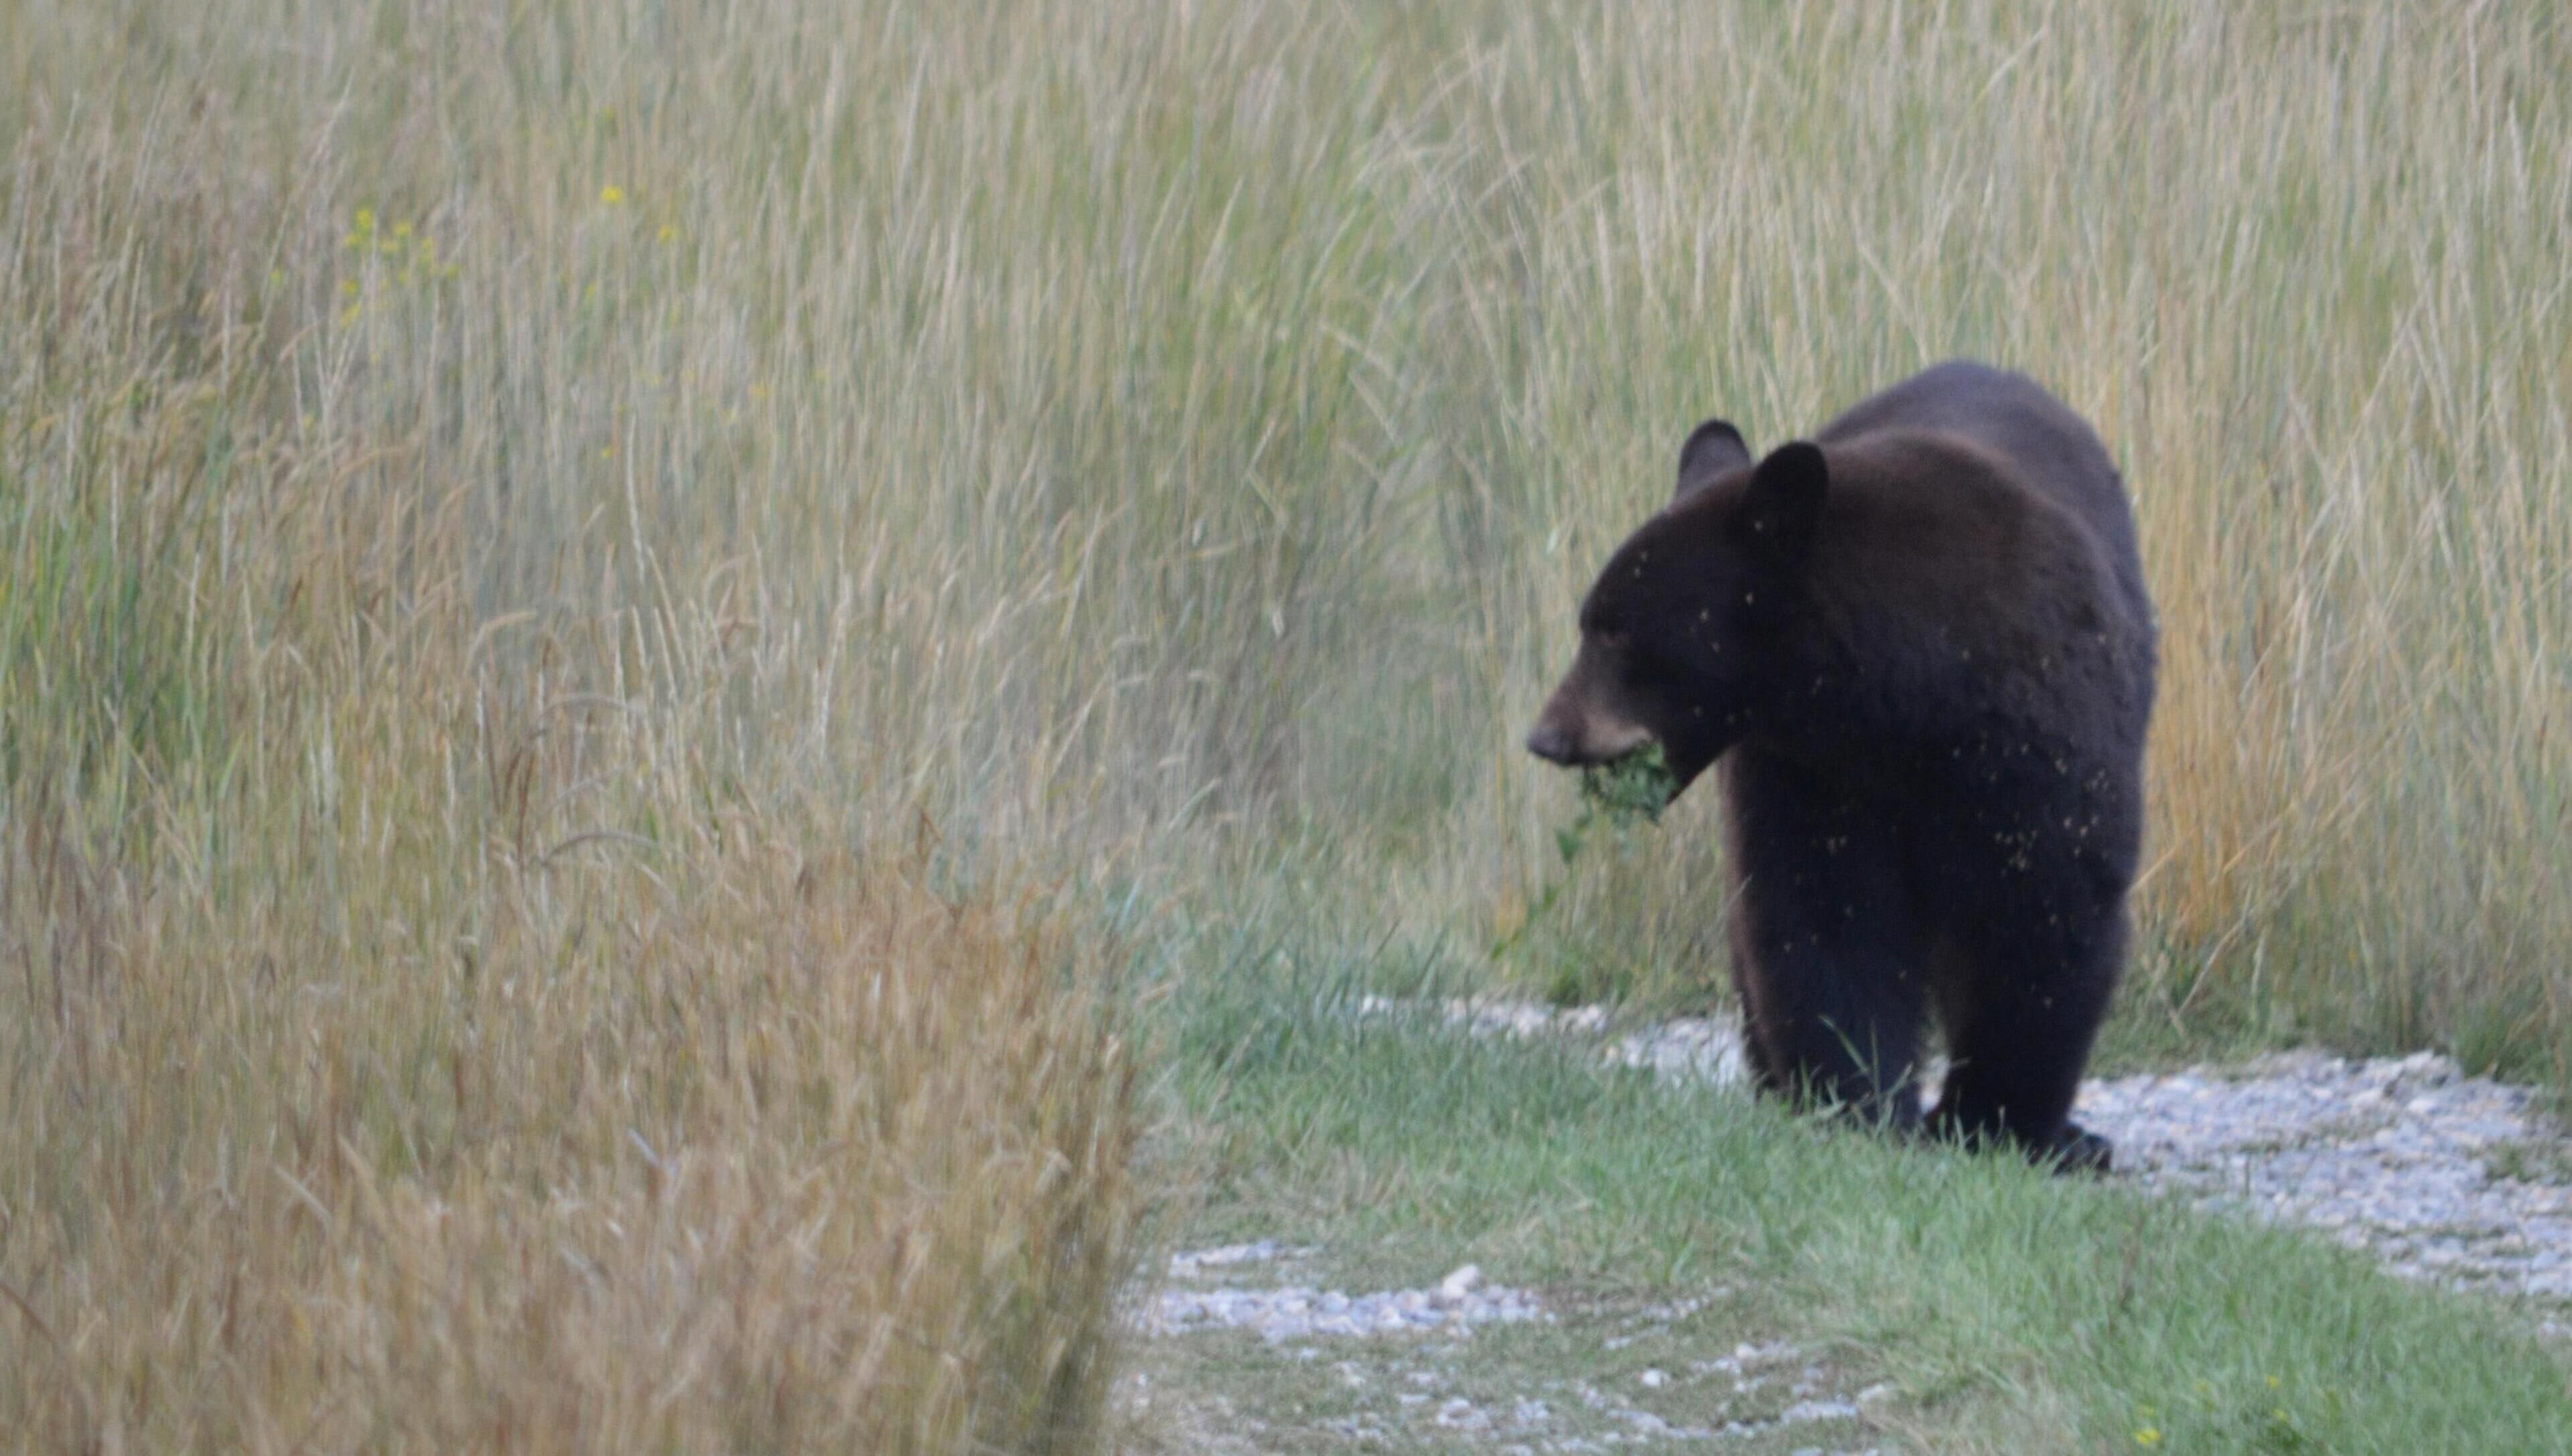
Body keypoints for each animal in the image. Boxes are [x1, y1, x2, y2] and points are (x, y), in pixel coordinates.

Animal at [1525, 360, 2156, 1173]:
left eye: (1613, 630)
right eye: (1592, 621)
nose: (1547, 736)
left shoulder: (2037, 738)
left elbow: (2046, 911)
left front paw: (1994, 1120)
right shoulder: (1810, 771)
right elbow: (1822, 915)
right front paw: (1859, 1107)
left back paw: (2080, 1140)